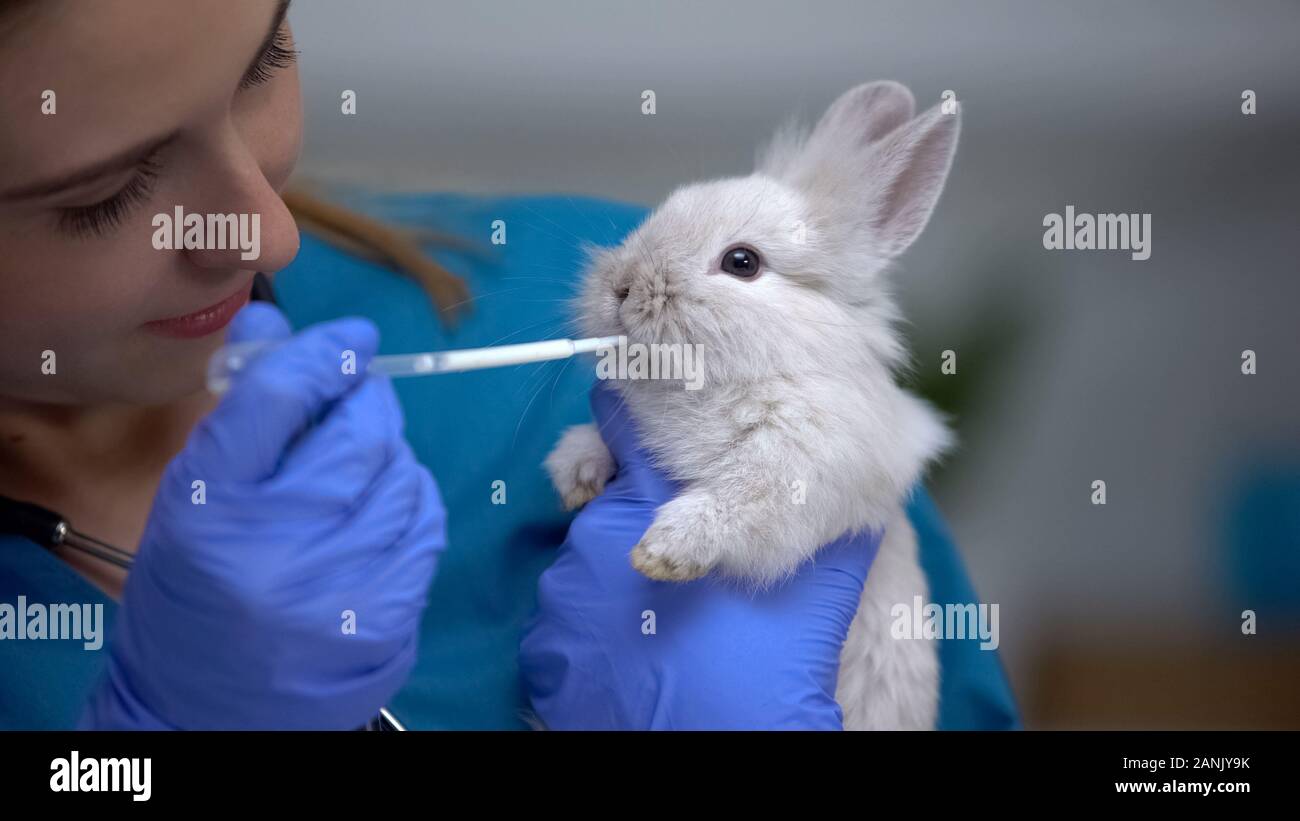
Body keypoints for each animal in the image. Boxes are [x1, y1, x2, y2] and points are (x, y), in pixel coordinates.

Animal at [543, 80, 961, 727]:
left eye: (742, 262)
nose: (621, 287)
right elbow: (594, 442)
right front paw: (575, 476)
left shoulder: (805, 466)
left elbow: (737, 501)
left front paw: (662, 550)